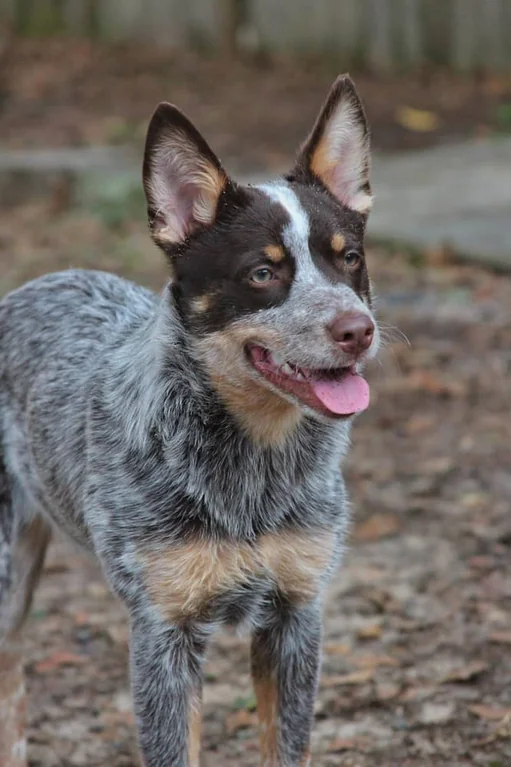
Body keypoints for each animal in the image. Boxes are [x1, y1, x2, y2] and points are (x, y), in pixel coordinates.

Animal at [0, 73, 380, 767]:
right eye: (262, 272)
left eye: (349, 258)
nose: (358, 330)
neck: (253, 466)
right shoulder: (163, 632)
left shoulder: (297, 616)